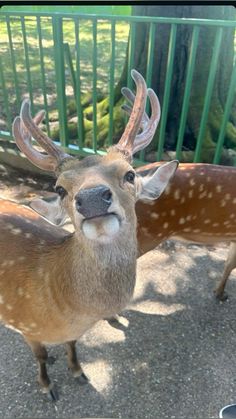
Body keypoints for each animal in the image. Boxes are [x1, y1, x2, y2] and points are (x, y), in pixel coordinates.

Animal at [0, 70, 178, 402]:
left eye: (130, 174)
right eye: (59, 188)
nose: (93, 198)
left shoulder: (72, 332)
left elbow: (71, 346)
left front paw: (77, 371)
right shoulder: (25, 323)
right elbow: (40, 355)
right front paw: (47, 387)